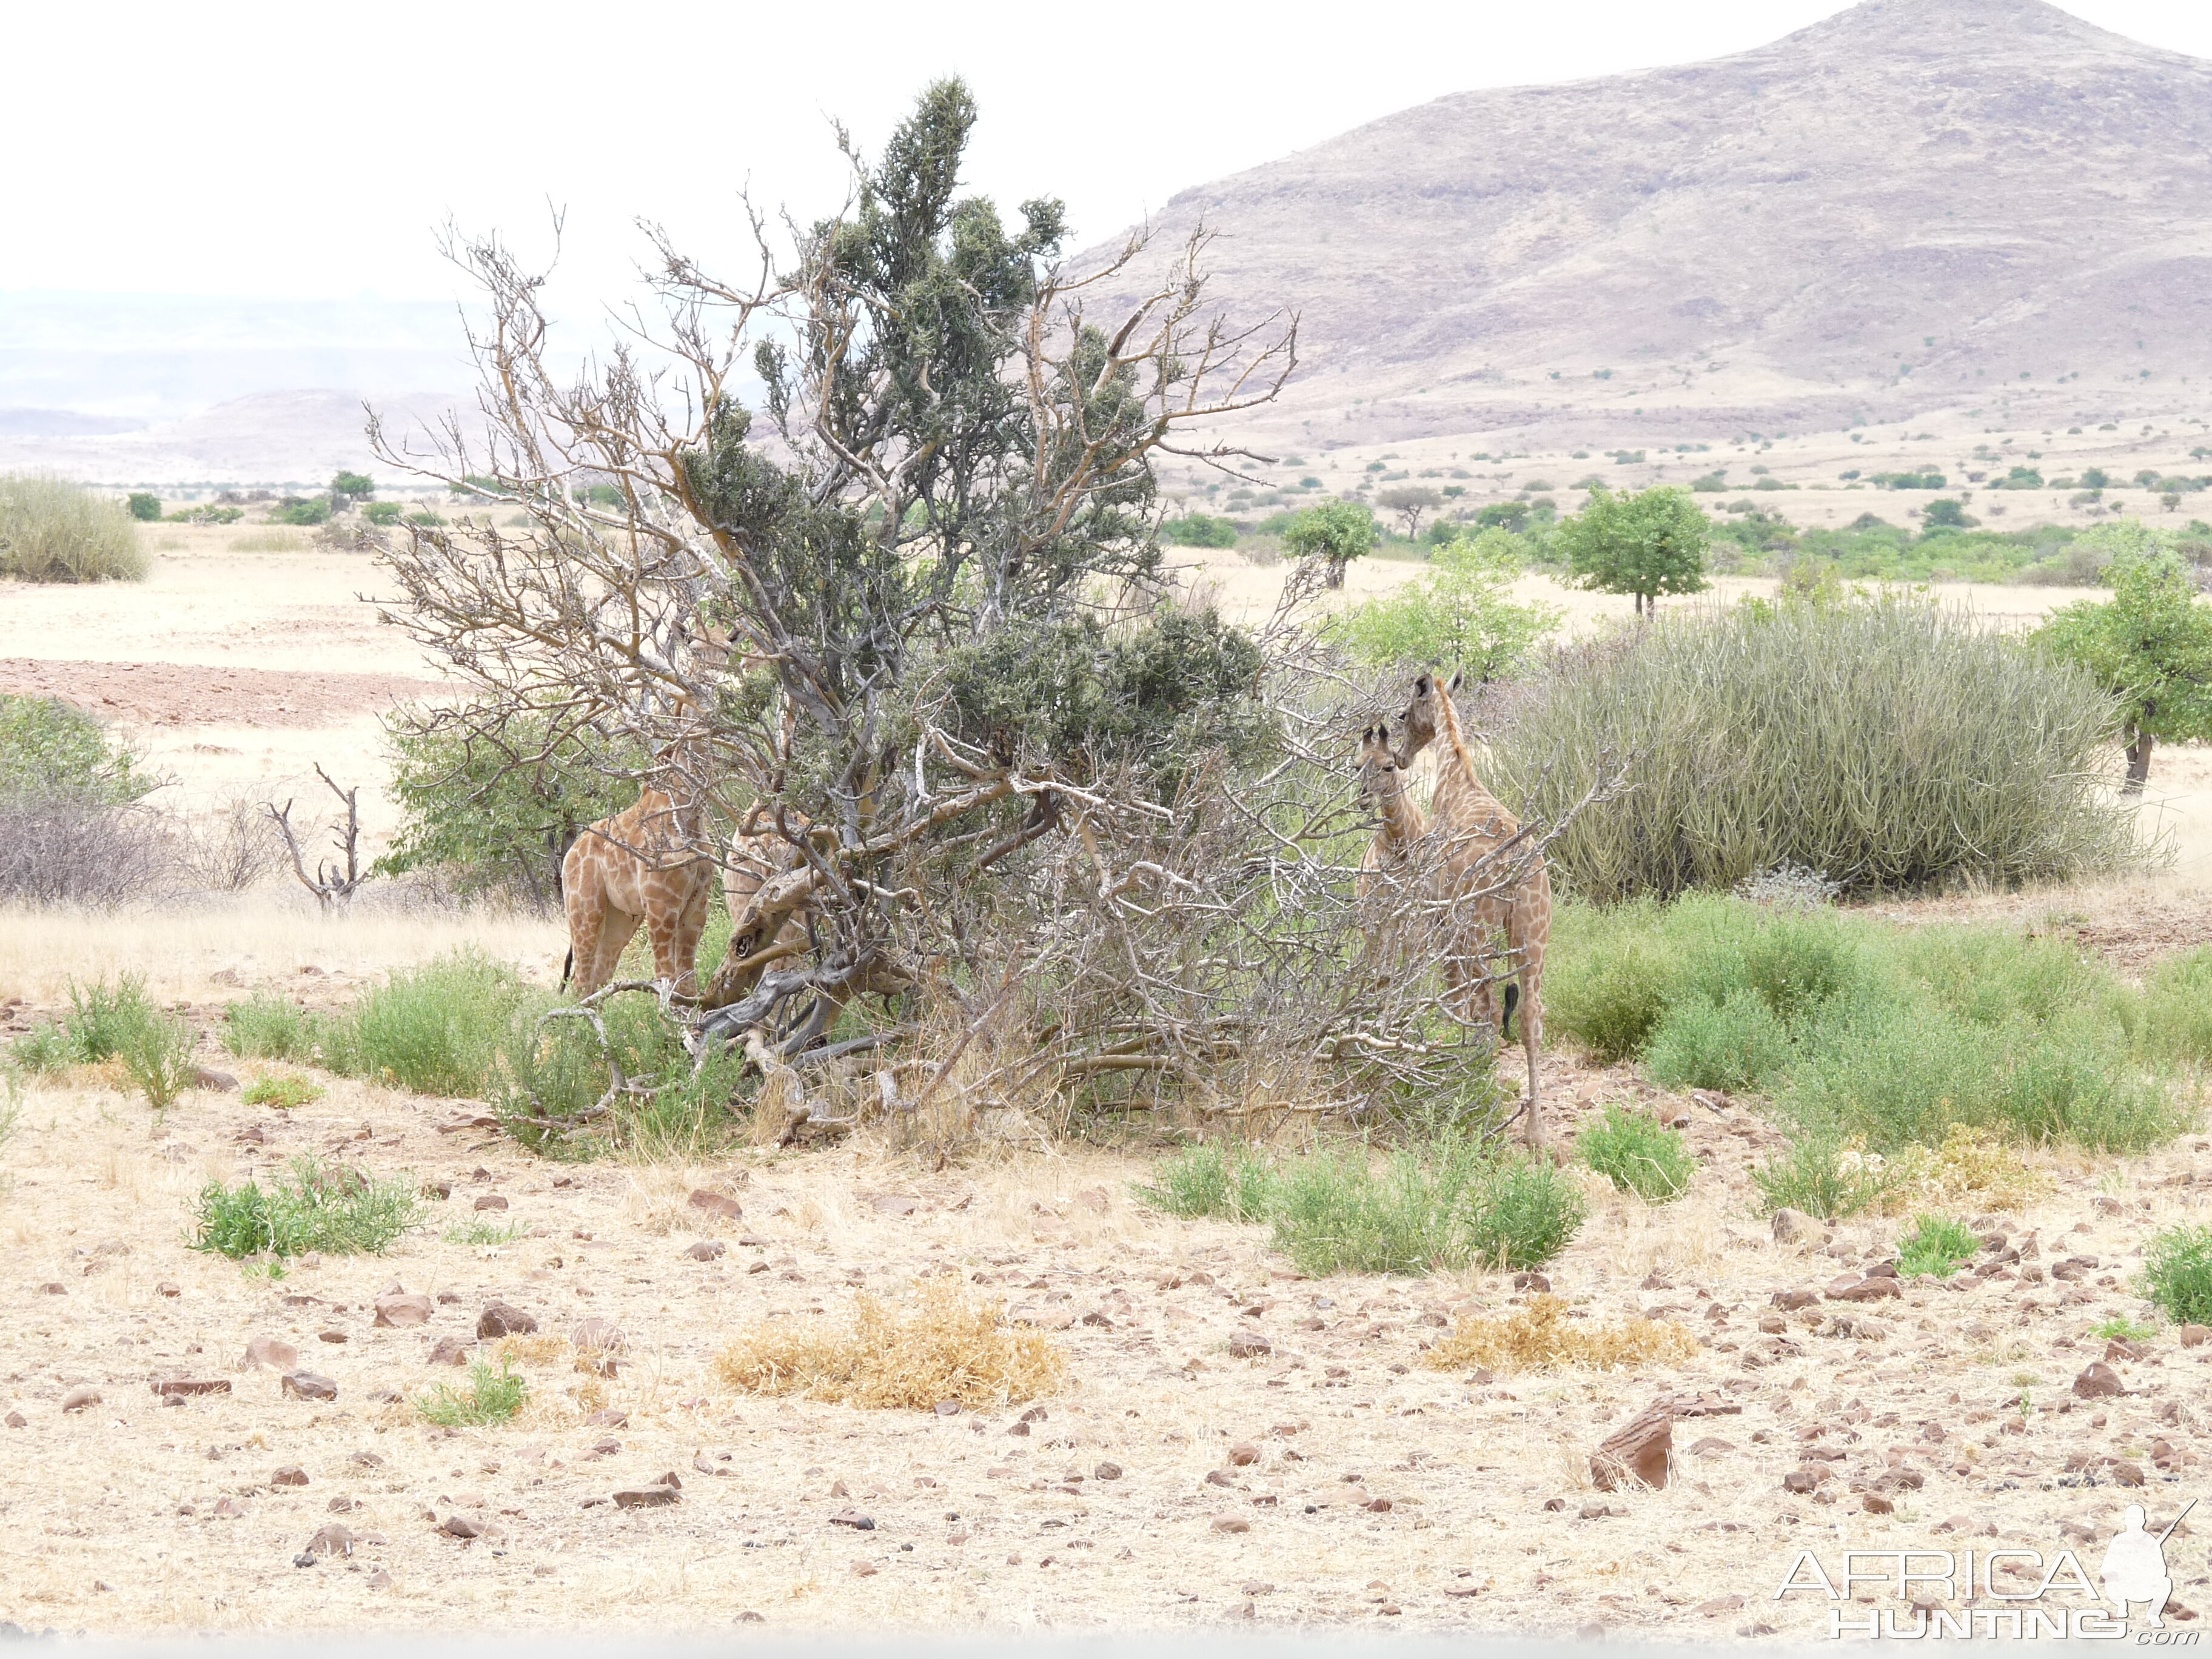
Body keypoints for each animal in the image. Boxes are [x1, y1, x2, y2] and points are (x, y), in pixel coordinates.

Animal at [1398, 668, 1557, 1150]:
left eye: (1403, 713)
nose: (1401, 757)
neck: (1456, 779)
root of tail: (1516, 862)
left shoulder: (1442, 912)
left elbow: (1458, 993)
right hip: (1534, 932)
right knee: (1531, 1016)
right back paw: (1536, 1132)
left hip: (1481, 928)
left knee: (1487, 1004)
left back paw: (1479, 1083)